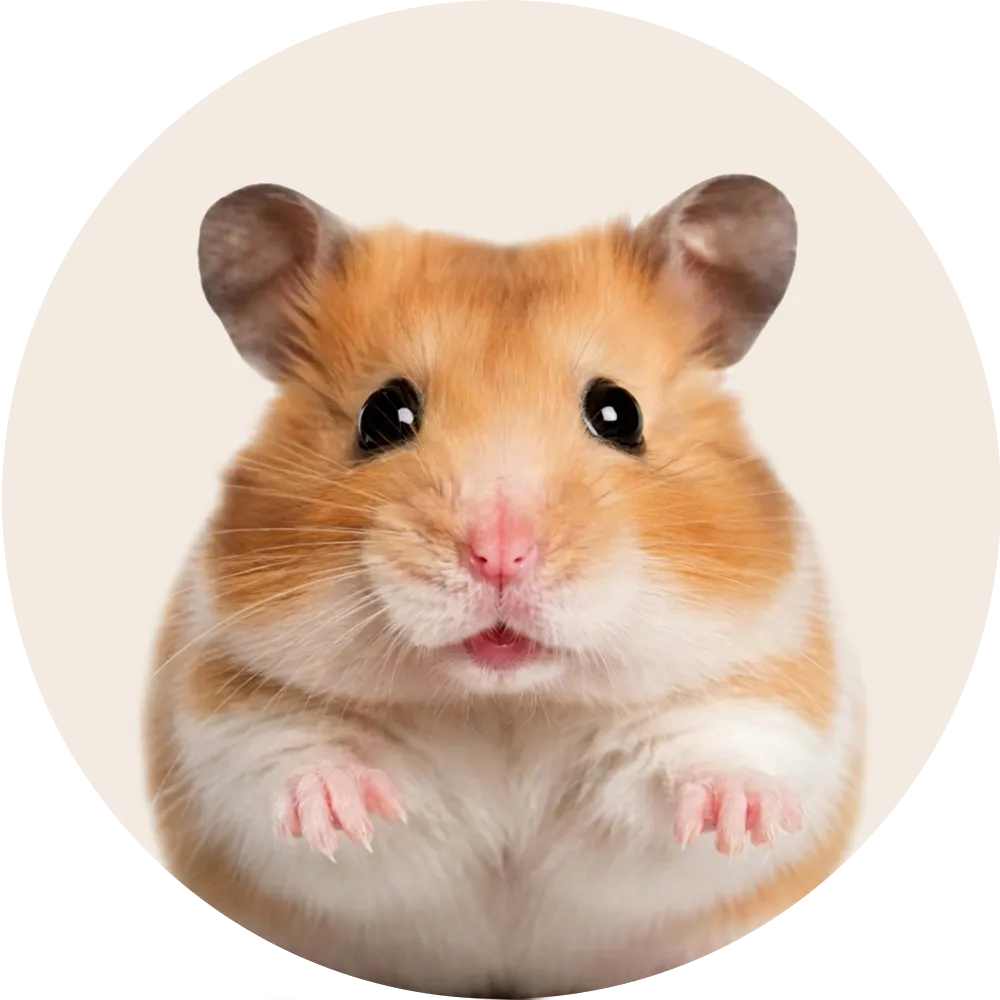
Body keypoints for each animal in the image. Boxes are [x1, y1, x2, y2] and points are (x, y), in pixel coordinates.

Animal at [143, 175, 864, 999]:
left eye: (618, 412)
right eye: (382, 414)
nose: (499, 557)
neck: (505, 706)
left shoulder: (766, 691)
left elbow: (720, 752)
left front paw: (739, 817)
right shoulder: (225, 714)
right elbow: (288, 755)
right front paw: (342, 810)